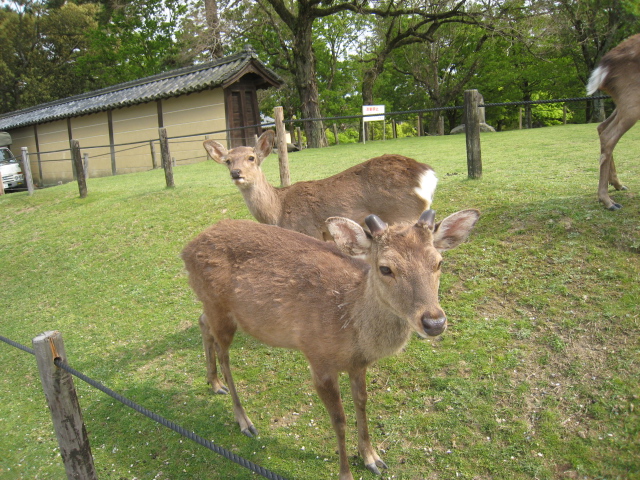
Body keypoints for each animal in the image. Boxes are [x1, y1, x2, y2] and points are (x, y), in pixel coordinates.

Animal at [181, 208, 480, 480]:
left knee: (202, 322)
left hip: (211, 307)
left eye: (439, 262)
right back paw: (243, 419)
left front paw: (372, 457)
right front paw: (346, 472)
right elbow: (339, 419)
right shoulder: (318, 358)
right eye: (385, 268)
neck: (349, 324)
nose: (434, 322)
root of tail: (186, 249)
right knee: (224, 354)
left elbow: (362, 403)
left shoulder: (358, 365)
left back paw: (213, 383)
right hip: (220, 308)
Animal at [202, 129, 438, 240]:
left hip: (404, 213)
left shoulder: (309, 230)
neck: (278, 212)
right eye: (228, 160)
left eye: (251, 157)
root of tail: (427, 174)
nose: (236, 173)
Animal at [588, 31, 640, 208]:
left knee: (602, 127)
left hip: (623, 100)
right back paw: (608, 201)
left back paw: (617, 184)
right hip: (632, 99)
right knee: (608, 135)